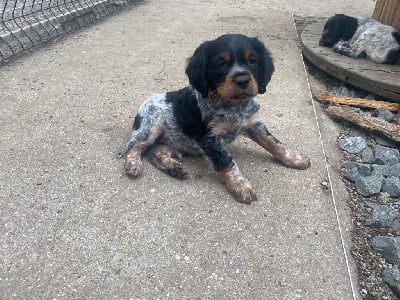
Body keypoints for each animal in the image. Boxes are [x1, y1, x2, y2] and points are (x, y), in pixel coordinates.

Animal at [123, 34, 310, 204]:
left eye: (252, 60)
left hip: (171, 143)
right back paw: (133, 164)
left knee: (155, 152)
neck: (233, 106)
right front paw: (240, 186)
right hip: (151, 127)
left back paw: (174, 167)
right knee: (133, 147)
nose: (242, 80)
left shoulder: (253, 124)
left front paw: (295, 159)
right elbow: (227, 161)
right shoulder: (209, 138)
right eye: (221, 64)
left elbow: (275, 144)